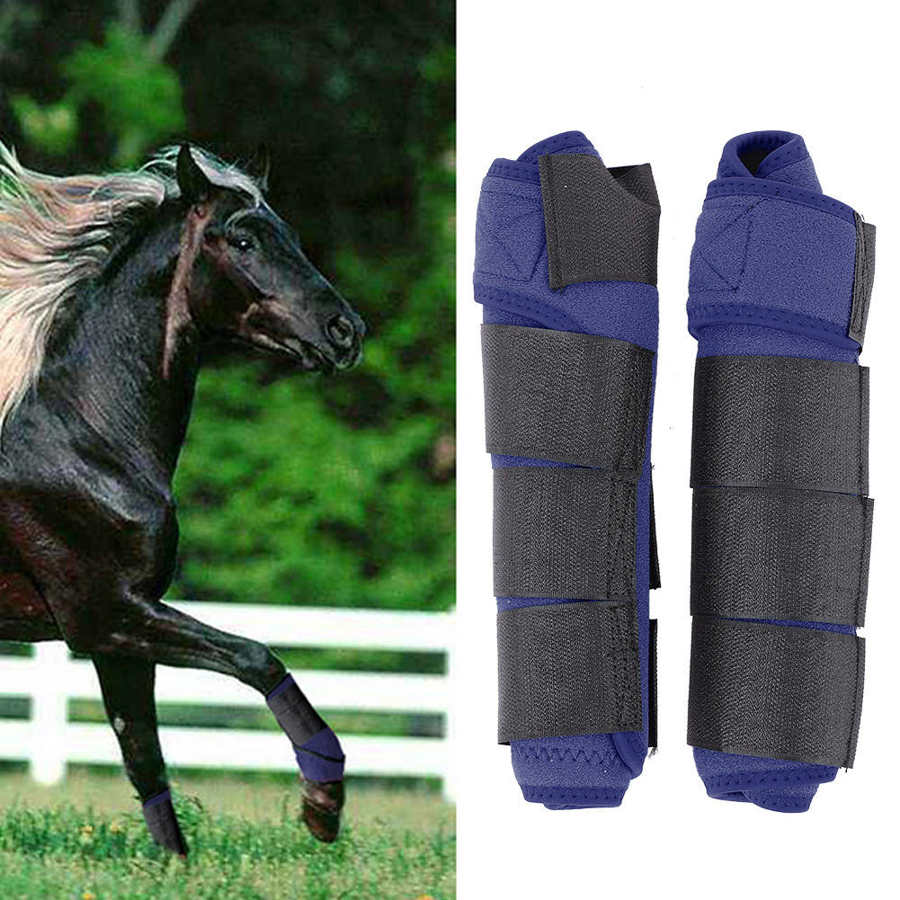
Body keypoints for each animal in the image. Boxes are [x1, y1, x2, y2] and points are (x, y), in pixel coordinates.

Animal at [0, 143, 365, 855]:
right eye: (244, 238)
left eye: (290, 236)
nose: (346, 332)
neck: (81, 438)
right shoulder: (106, 613)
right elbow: (255, 657)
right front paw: (322, 804)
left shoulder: (119, 634)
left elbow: (144, 757)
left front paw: (175, 863)